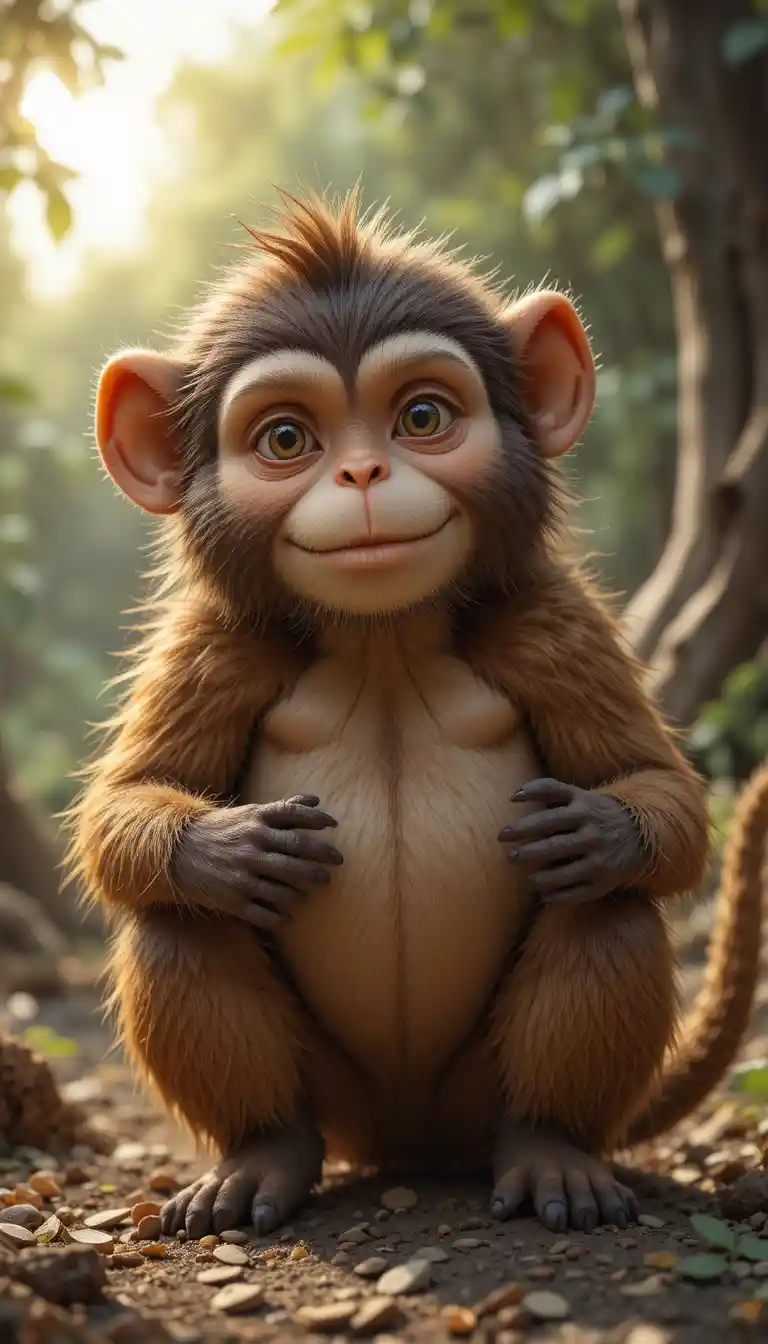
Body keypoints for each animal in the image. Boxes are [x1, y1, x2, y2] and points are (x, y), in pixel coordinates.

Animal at [66, 189, 765, 1242]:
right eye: (286, 441)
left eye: (422, 417)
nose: (362, 475)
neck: (383, 636)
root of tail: (409, 1141)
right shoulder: (217, 642)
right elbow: (126, 810)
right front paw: (226, 848)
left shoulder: (548, 619)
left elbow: (661, 799)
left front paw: (602, 828)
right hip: (344, 1103)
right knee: (177, 925)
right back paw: (262, 1152)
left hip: (475, 1096)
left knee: (610, 912)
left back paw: (551, 1146)